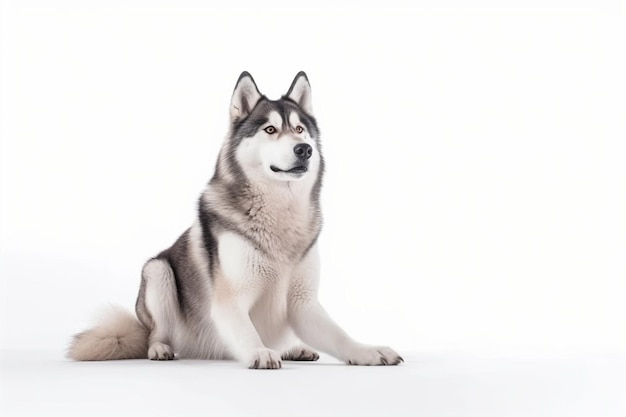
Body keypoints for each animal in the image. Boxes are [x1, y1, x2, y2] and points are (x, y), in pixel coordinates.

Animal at [67, 70, 400, 368]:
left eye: (300, 129)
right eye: (269, 130)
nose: (304, 149)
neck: (280, 212)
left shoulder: (304, 304)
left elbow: (340, 335)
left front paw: (368, 351)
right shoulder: (229, 301)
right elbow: (246, 332)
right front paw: (260, 352)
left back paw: (295, 348)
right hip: (158, 273)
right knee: (155, 330)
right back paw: (160, 348)